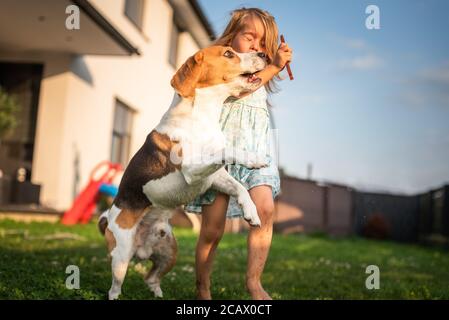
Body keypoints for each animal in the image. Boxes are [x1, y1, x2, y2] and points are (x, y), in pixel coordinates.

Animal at [98, 45, 266, 300]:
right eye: (229, 53)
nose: (264, 54)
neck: (200, 115)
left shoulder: (213, 177)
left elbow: (239, 188)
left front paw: (251, 212)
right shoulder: (192, 170)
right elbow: (229, 150)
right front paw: (253, 158)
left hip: (170, 252)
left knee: (151, 278)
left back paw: (158, 293)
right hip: (121, 257)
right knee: (114, 287)